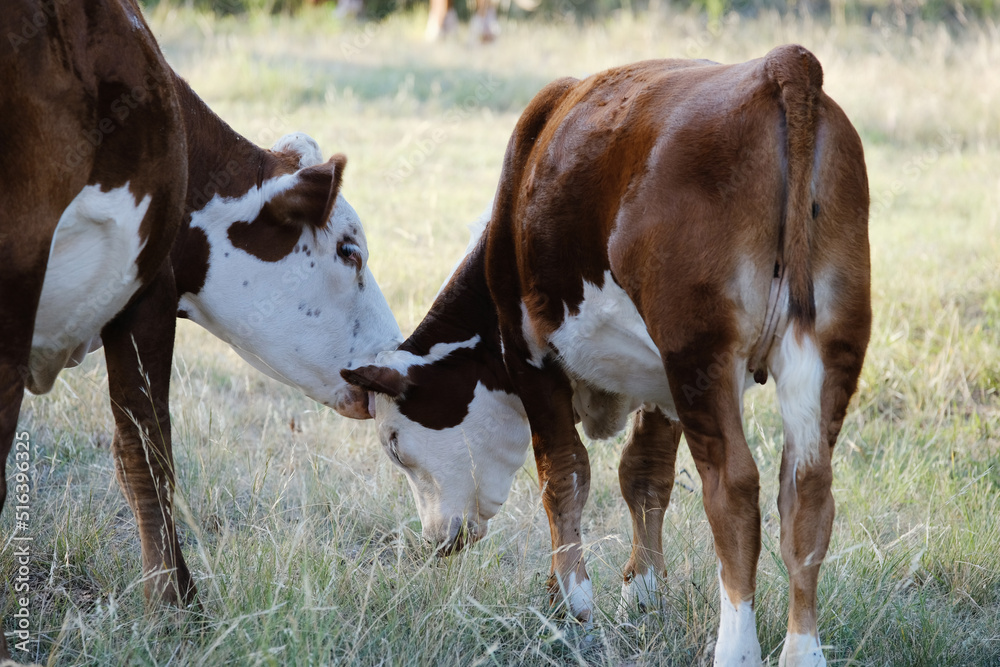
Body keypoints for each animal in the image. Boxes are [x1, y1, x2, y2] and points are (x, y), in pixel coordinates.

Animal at [342, 44, 868, 664]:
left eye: (395, 445)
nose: (435, 540)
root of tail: (781, 64)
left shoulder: (530, 353)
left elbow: (562, 475)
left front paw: (572, 609)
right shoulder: (662, 383)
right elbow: (644, 473)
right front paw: (641, 596)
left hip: (698, 350)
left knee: (734, 489)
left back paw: (735, 646)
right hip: (827, 347)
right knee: (808, 493)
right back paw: (803, 649)